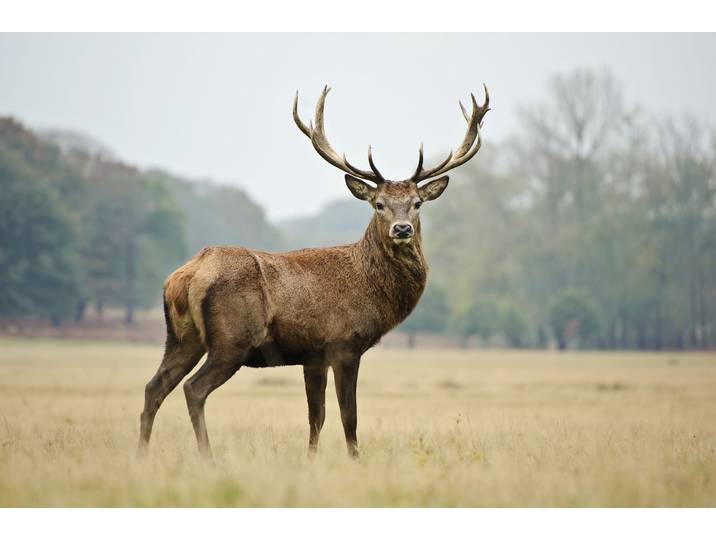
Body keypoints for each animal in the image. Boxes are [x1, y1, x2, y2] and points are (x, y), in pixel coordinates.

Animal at [137, 85, 489, 460]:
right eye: (378, 204)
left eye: (417, 203)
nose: (402, 228)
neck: (370, 288)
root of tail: (185, 276)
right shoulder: (344, 343)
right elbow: (349, 416)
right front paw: (355, 460)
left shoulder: (313, 356)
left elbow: (316, 416)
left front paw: (310, 459)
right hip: (232, 340)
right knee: (193, 389)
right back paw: (207, 457)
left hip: (181, 337)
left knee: (153, 387)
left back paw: (141, 454)